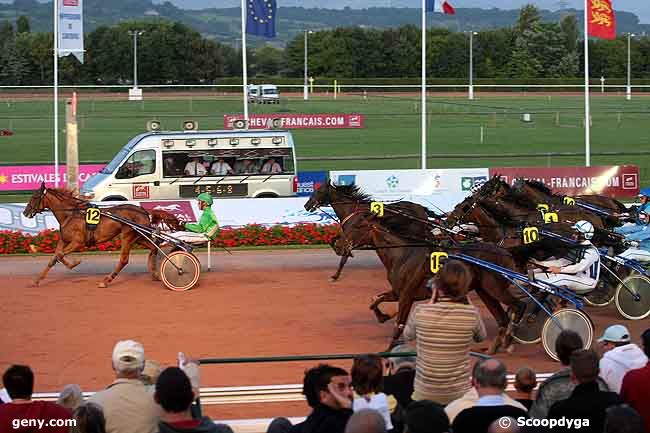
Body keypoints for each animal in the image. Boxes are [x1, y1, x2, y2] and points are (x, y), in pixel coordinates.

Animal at [24, 182, 159, 286]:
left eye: (35, 197)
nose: (25, 212)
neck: (71, 214)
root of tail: (143, 211)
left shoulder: (77, 242)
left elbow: (60, 255)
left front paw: (75, 263)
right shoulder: (64, 240)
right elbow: (54, 257)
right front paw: (37, 280)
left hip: (127, 236)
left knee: (124, 260)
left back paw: (106, 280)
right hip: (139, 237)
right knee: (154, 249)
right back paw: (155, 273)